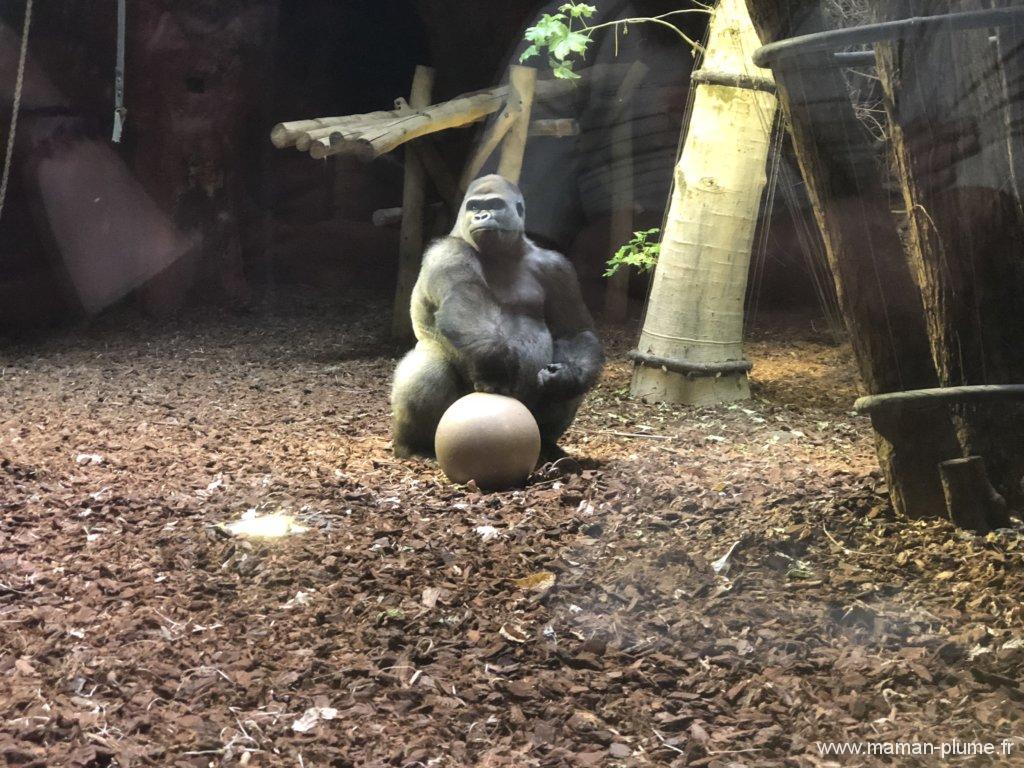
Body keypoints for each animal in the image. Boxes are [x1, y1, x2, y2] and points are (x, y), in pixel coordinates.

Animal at [389, 174, 598, 460]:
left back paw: (548, 445)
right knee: (429, 366)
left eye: (495, 205)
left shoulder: (558, 267)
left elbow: (573, 331)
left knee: (571, 386)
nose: (481, 216)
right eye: (474, 206)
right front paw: (497, 364)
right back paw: (415, 445)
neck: (506, 253)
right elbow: (463, 299)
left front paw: (568, 376)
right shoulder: (448, 251)